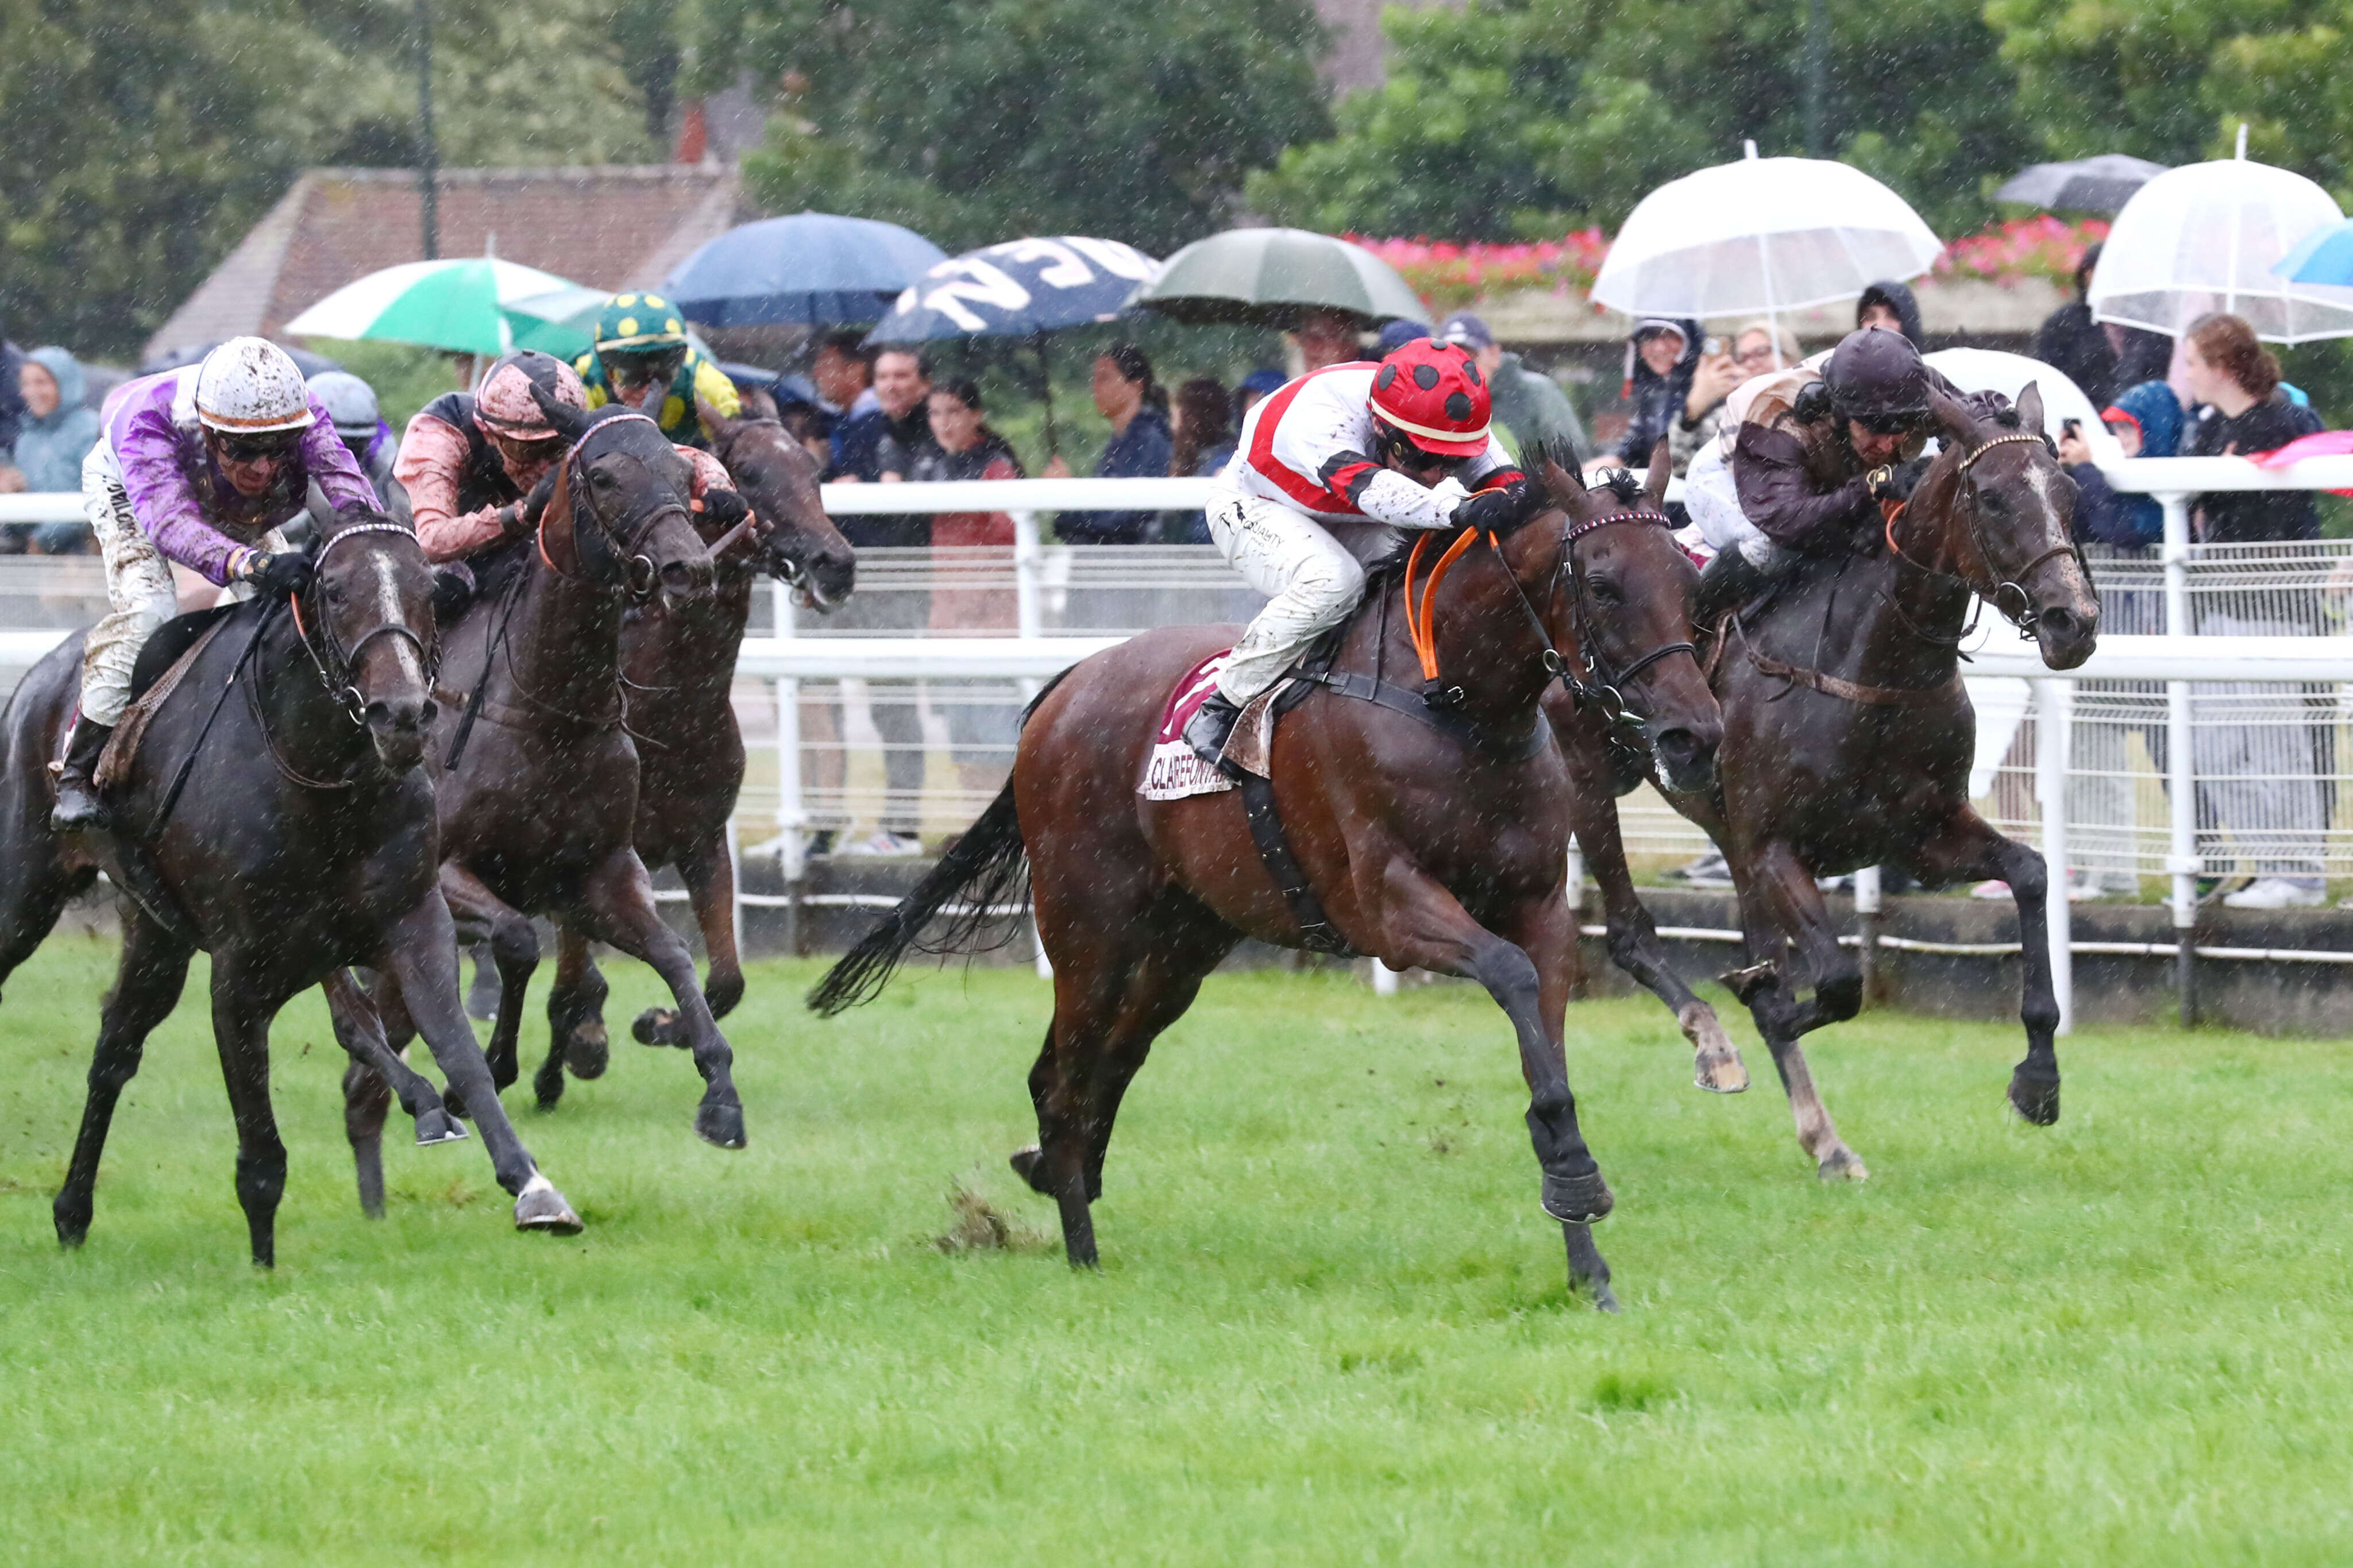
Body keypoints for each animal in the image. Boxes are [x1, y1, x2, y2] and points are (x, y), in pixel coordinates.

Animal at [0, 510, 578, 1269]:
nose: (402, 714)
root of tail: (38, 676)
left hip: (157, 935)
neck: (319, 775)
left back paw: (72, 1212)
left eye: (427, 589)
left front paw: (533, 1186)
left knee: (115, 1051)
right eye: (333, 591)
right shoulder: (239, 970)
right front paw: (263, 1262)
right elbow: (259, 1130)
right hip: (27, 892)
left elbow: (457, 1051)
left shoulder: (411, 921)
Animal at [331, 392, 748, 1152]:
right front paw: (490, 1071)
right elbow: (518, 943)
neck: (547, 708)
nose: (688, 568)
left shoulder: (599, 871)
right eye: (604, 477)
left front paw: (719, 1093)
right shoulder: (447, 873)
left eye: (682, 469)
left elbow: (675, 953)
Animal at [534, 404, 856, 1114]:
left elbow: (728, 980)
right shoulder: (585, 854)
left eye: (812, 469)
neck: (667, 709)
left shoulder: (703, 839)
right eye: (748, 472)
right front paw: (573, 1052)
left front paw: (661, 1024)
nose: (837, 562)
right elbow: (572, 979)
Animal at [819, 453, 1722, 1316]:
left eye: (1689, 584)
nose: (1696, 734)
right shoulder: (1387, 907)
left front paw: (1587, 1257)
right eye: (1602, 585)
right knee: (1063, 1077)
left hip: (1182, 946)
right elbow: (1508, 973)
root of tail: (1062, 690)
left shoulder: (1538, 906)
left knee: (1111, 1058)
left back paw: (1056, 1174)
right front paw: (1579, 1188)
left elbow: (1548, 1061)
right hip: (1088, 934)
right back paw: (1079, 1248)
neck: (1456, 703)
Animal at [1562, 385, 2099, 1184]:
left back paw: (1823, 1136)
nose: (2075, 622)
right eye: (1994, 497)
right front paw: (1762, 1000)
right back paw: (1721, 1049)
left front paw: (2038, 1081)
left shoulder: (1919, 836)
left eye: (2068, 494)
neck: (1870, 665)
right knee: (1627, 931)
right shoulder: (1778, 847)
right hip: (1585, 775)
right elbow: (1838, 981)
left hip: (1727, 838)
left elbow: (2030, 873)